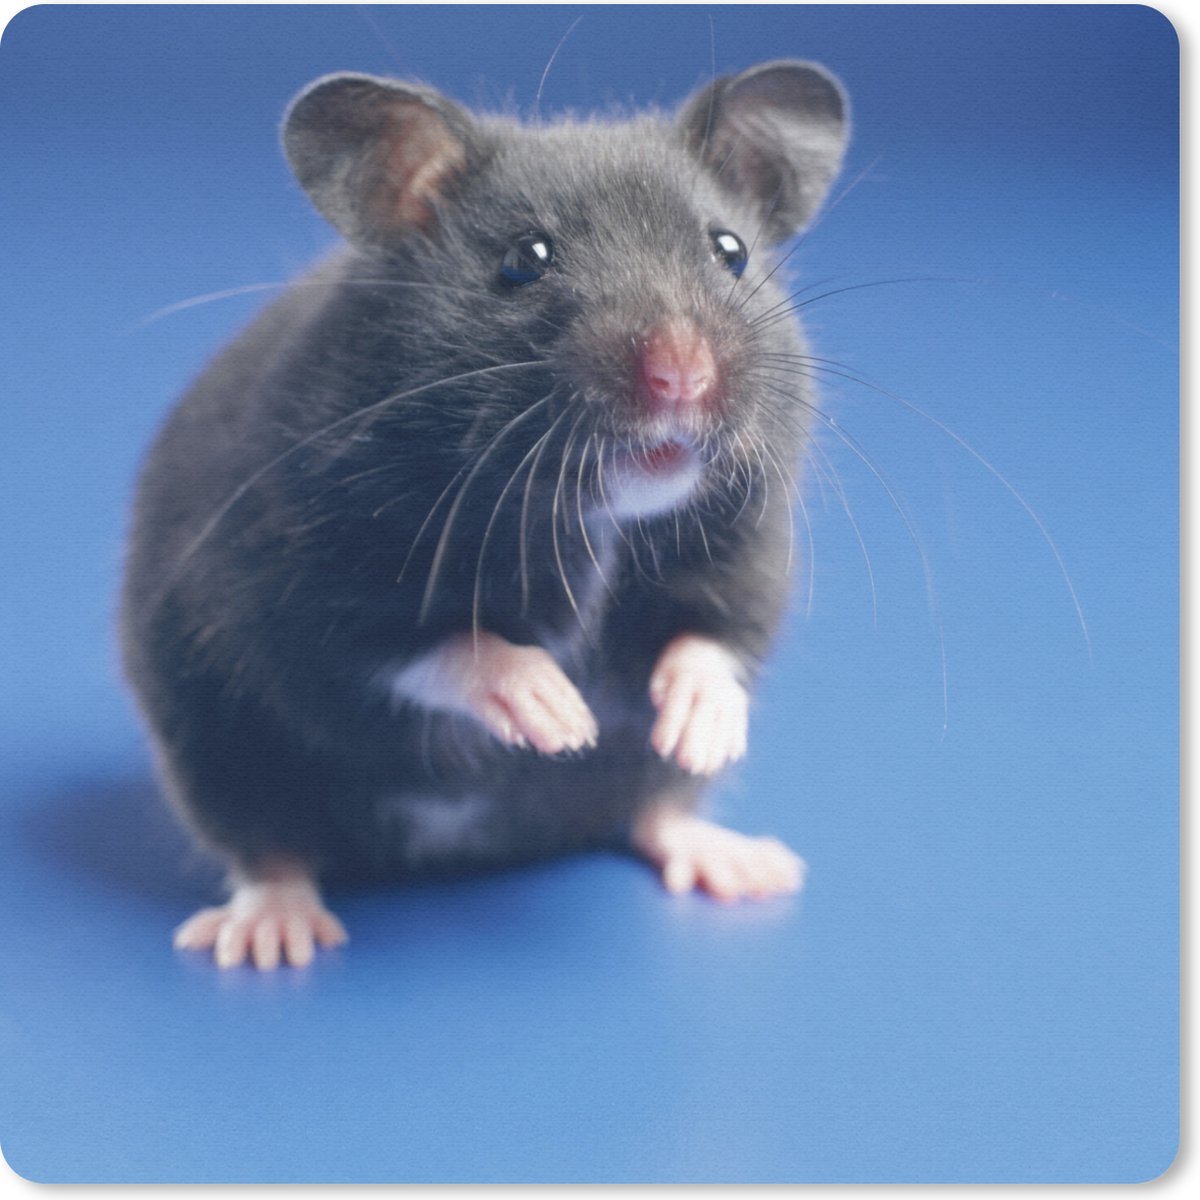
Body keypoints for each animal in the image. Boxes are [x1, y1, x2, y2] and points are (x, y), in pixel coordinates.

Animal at [120, 60, 850, 969]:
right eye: (524, 259)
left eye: (732, 251)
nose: (681, 376)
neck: (597, 514)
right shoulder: (306, 577)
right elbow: (430, 649)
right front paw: (560, 717)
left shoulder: (747, 548)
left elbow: (715, 641)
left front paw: (700, 728)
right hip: (215, 744)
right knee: (267, 844)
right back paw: (271, 936)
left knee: (652, 811)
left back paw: (745, 864)